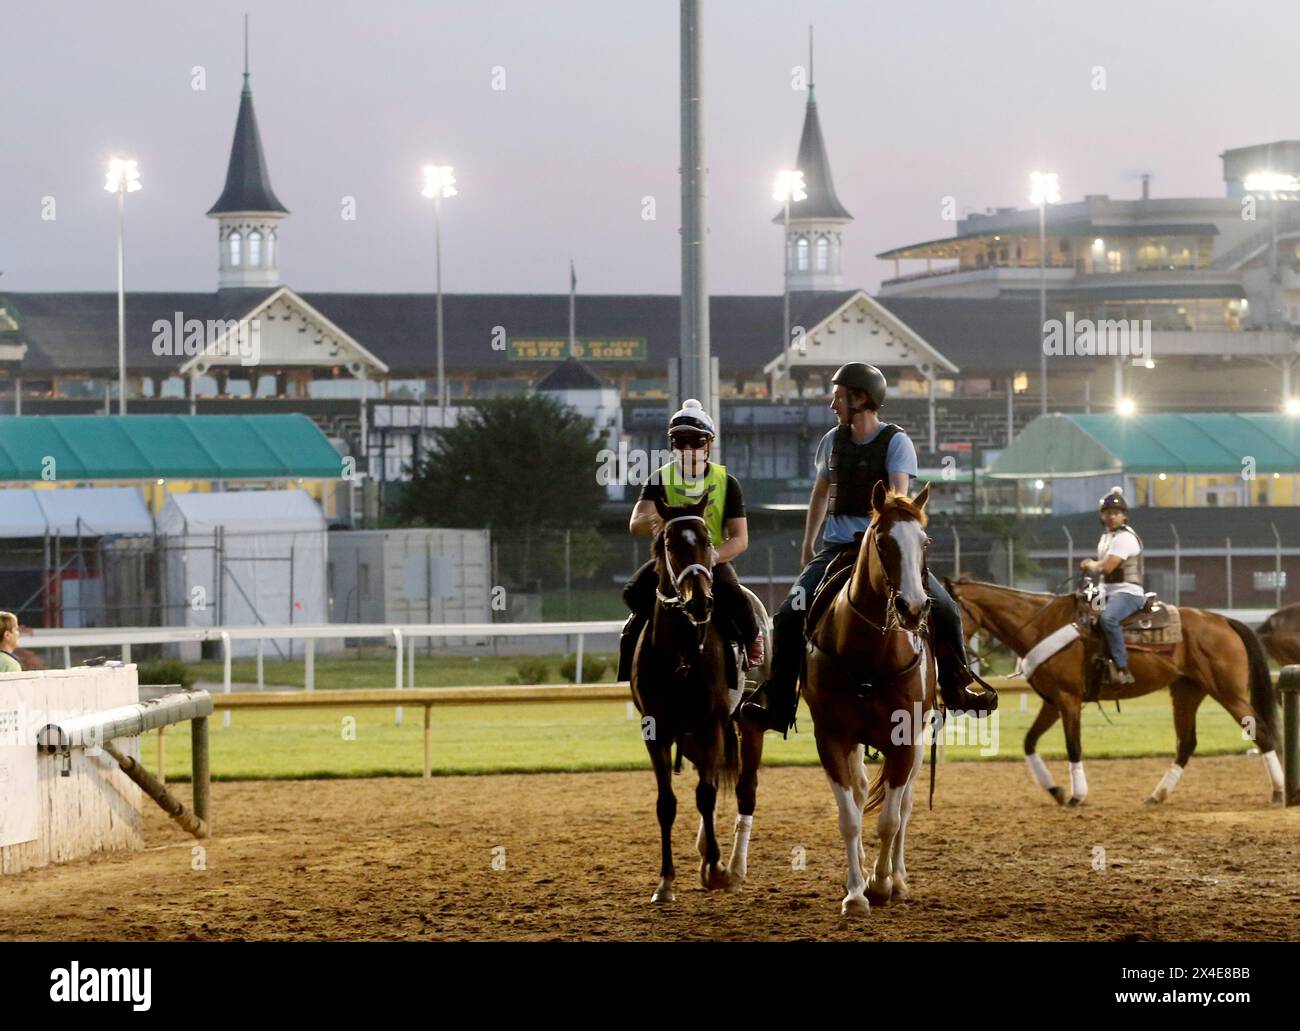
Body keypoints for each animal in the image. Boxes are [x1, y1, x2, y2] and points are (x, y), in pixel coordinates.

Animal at [629, 491, 769, 899]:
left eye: (707, 540)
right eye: (670, 543)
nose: (699, 602)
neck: (682, 653)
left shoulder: (711, 724)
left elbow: (706, 794)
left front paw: (717, 869)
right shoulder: (657, 730)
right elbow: (667, 803)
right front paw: (665, 882)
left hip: (750, 720)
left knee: (745, 789)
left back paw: (734, 867)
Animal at [800, 478, 935, 915]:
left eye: (924, 541)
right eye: (883, 540)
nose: (913, 608)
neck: (871, 655)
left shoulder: (906, 741)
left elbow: (890, 820)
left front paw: (881, 883)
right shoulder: (832, 738)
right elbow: (850, 817)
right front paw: (856, 892)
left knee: (904, 807)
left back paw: (898, 877)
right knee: (860, 794)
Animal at [946, 574, 1279, 806]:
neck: (1041, 625)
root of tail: (1223, 620)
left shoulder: (1068, 700)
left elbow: (1073, 746)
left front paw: (1077, 795)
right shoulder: (1052, 701)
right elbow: (1029, 742)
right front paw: (1055, 790)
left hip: (1229, 693)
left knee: (1261, 732)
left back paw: (1278, 791)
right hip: (1187, 692)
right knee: (1186, 744)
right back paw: (1157, 795)